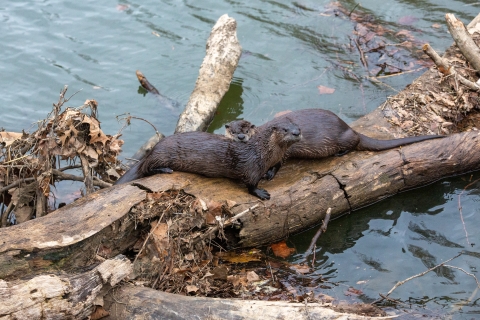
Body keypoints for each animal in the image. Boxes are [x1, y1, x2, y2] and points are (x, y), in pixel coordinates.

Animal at [115, 118, 300, 200]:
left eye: (297, 127)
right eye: (285, 129)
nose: (297, 132)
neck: (263, 151)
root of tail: (153, 150)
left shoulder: (276, 159)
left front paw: (270, 174)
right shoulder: (252, 166)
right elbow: (251, 184)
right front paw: (261, 192)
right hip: (162, 154)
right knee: (146, 168)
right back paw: (165, 169)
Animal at [224, 109, 442, 180]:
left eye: (246, 129)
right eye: (232, 130)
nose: (241, 137)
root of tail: (348, 126)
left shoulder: (283, 153)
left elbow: (279, 164)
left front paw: (269, 174)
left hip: (343, 137)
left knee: (354, 142)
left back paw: (340, 153)